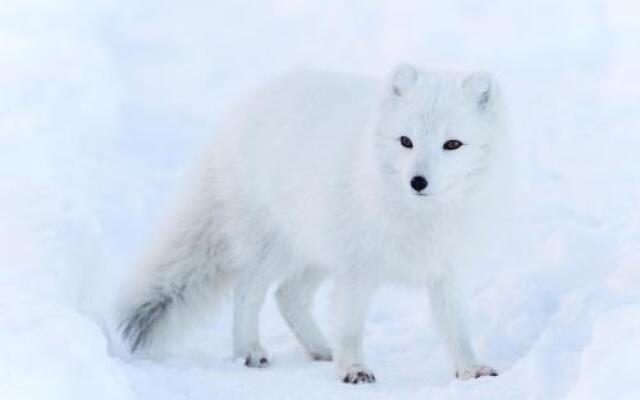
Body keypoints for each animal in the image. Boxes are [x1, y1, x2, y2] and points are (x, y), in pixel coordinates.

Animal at [119, 64, 504, 382]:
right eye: (405, 141)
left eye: (452, 144)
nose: (418, 181)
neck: (420, 217)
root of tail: (238, 114)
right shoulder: (357, 269)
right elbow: (350, 325)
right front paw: (353, 369)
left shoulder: (447, 269)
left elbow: (457, 328)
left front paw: (470, 369)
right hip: (274, 249)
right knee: (248, 294)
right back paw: (250, 351)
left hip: (316, 252)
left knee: (288, 296)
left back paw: (321, 349)